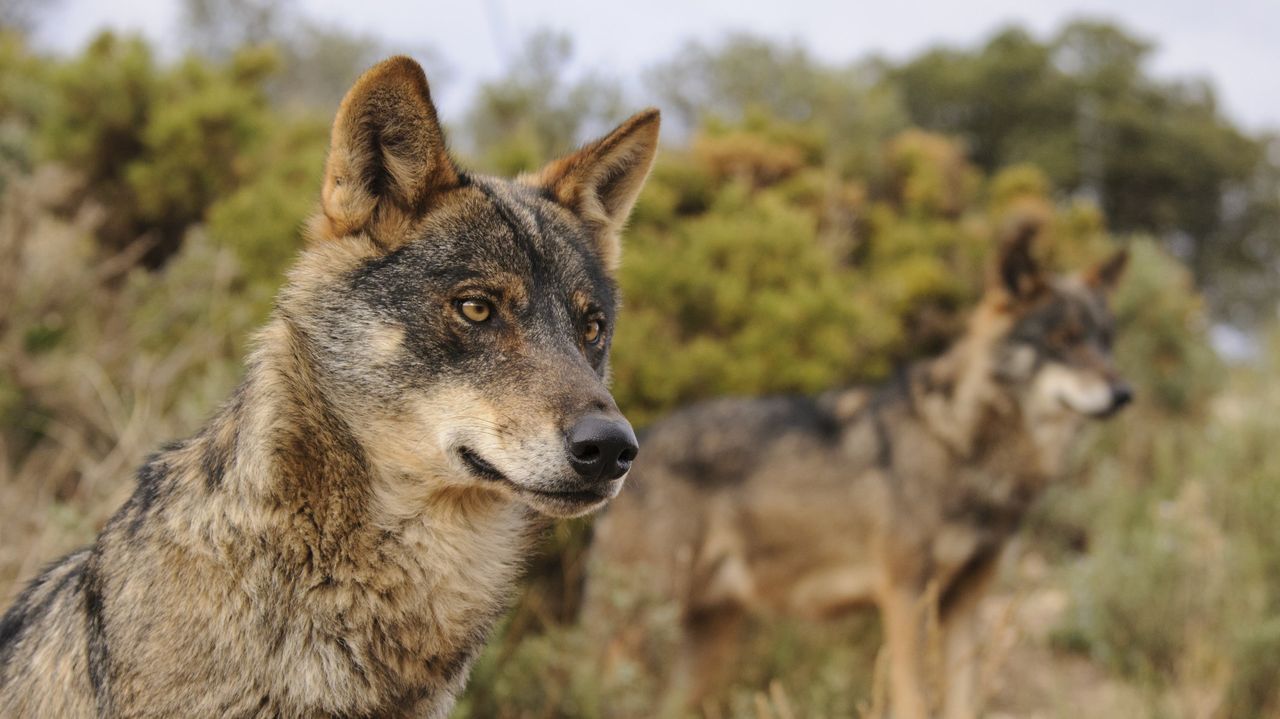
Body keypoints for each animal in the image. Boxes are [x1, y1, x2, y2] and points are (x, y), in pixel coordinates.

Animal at [587, 223, 1130, 719]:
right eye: (1063, 340)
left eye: (1105, 341)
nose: (1125, 394)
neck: (961, 443)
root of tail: (636, 442)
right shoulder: (906, 597)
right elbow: (913, 700)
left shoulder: (965, 606)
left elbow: (963, 702)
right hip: (640, 630)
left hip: (706, 646)